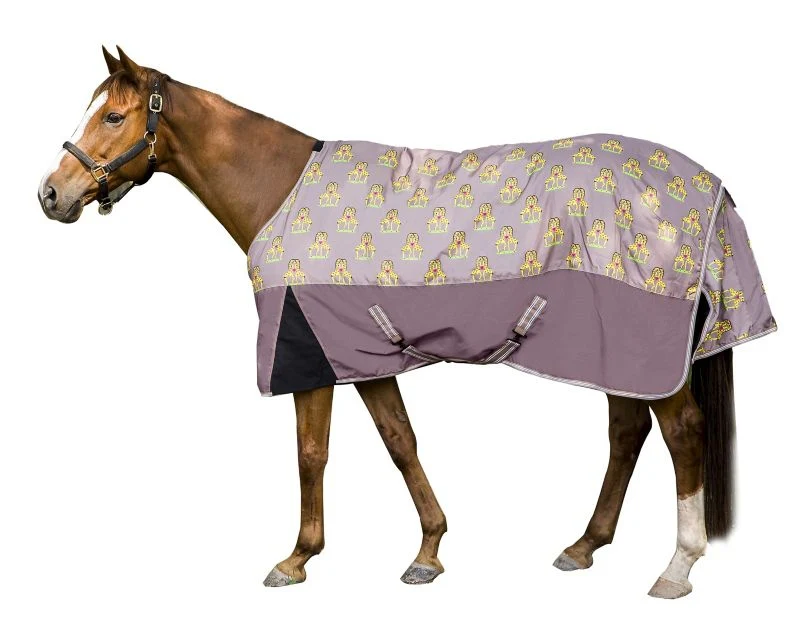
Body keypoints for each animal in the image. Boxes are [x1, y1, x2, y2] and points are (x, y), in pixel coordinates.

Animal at [37, 47, 752, 599]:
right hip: (613, 350)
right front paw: (428, 553)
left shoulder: (307, 350)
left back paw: (676, 568)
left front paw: (297, 559)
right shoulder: (361, 354)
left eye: (113, 115)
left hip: (648, 347)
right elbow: (400, 442)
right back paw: (583, 546)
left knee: (683, 433)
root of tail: (709, 187)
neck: (280, 190)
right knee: (628, 431)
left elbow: (312, 453)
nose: (51, 194)